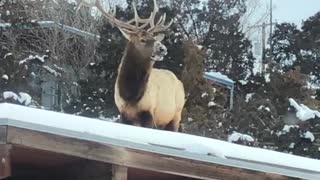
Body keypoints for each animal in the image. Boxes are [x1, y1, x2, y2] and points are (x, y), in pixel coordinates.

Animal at [77, 0, 185, 131]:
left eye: (154, 38)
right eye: (142, 39)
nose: (163, 49)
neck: (130, 96)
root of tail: (179, 81)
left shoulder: (149, 111)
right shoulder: (123, 113)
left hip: (176, 114)